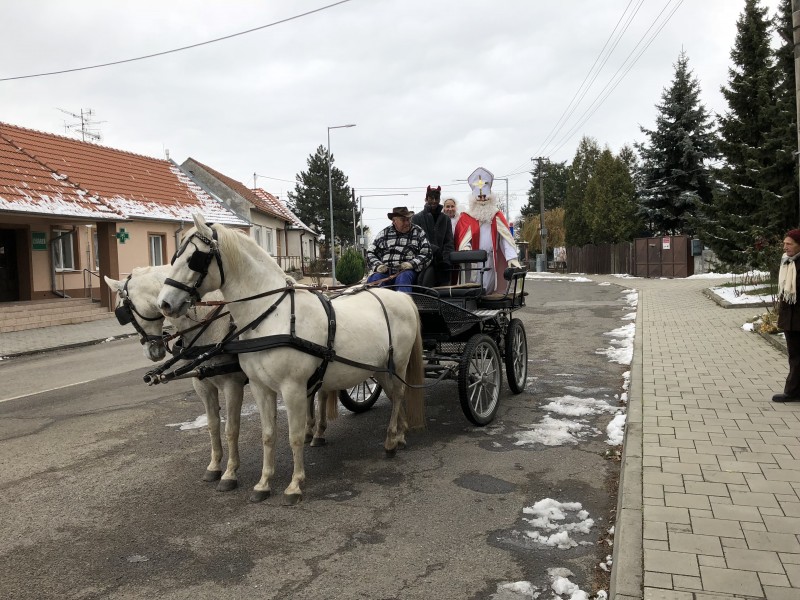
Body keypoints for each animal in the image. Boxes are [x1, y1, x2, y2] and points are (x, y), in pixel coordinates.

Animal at [157, 213, 428, 504]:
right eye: (174, 257)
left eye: (194, 258)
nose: (164, 304)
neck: (271, 314)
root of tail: (401, 296)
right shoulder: (261, 388)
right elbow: (268, 435)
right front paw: (263, 483)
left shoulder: (292, 388)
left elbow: (294, 436)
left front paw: (295, 484)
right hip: (378, 369)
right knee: (393, 395)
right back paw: (400, 434)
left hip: (397, 364)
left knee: (398, 395)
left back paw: (391, 441)